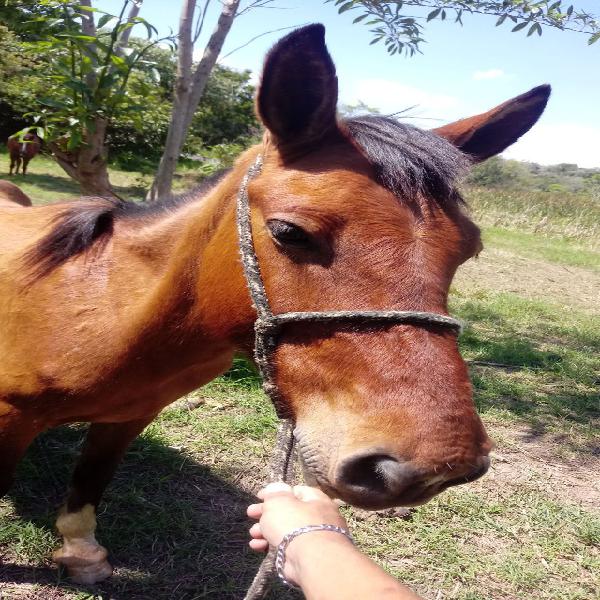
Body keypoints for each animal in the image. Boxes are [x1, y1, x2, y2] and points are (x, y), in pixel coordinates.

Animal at [0, 25, 552, 584]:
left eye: (470, 249)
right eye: (290, 232)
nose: (435, 466)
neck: (103, 304)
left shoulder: (127, 418)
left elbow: (89, 485)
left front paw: (80, 551)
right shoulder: (10, 420)